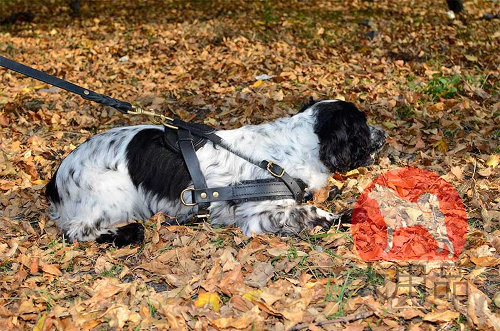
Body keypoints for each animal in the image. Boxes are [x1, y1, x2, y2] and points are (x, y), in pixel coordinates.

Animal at [45, 100, 384, 248]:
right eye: (363, 124)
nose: (384, 134)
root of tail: (56, 178)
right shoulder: (259, 216)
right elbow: (312, 211)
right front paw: (349, 215)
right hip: (112, 199)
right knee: (76, 232)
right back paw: (127, 234)